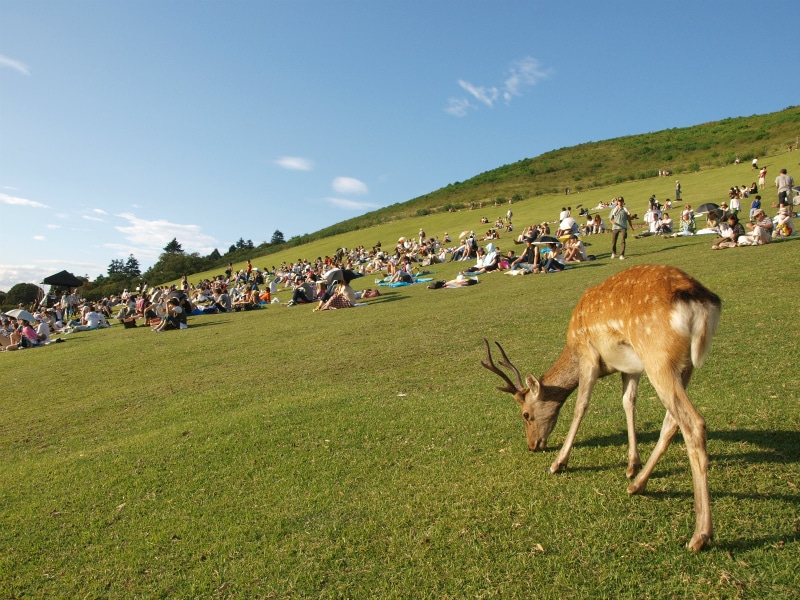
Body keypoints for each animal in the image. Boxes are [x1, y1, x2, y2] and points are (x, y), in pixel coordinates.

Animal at [482, 264, 721, 551]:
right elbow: (628, 402)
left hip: (658, 357)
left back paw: (700, 535)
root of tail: (703, 301)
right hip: (683, 366)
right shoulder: (630, 367)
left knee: (694, 423)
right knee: (672, 422)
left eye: (526, 414)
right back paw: (637, 485)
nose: (532, 446)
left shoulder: (589, 357)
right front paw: (631, 465)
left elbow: (580, 406)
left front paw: (558, 463)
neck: (572, 345)